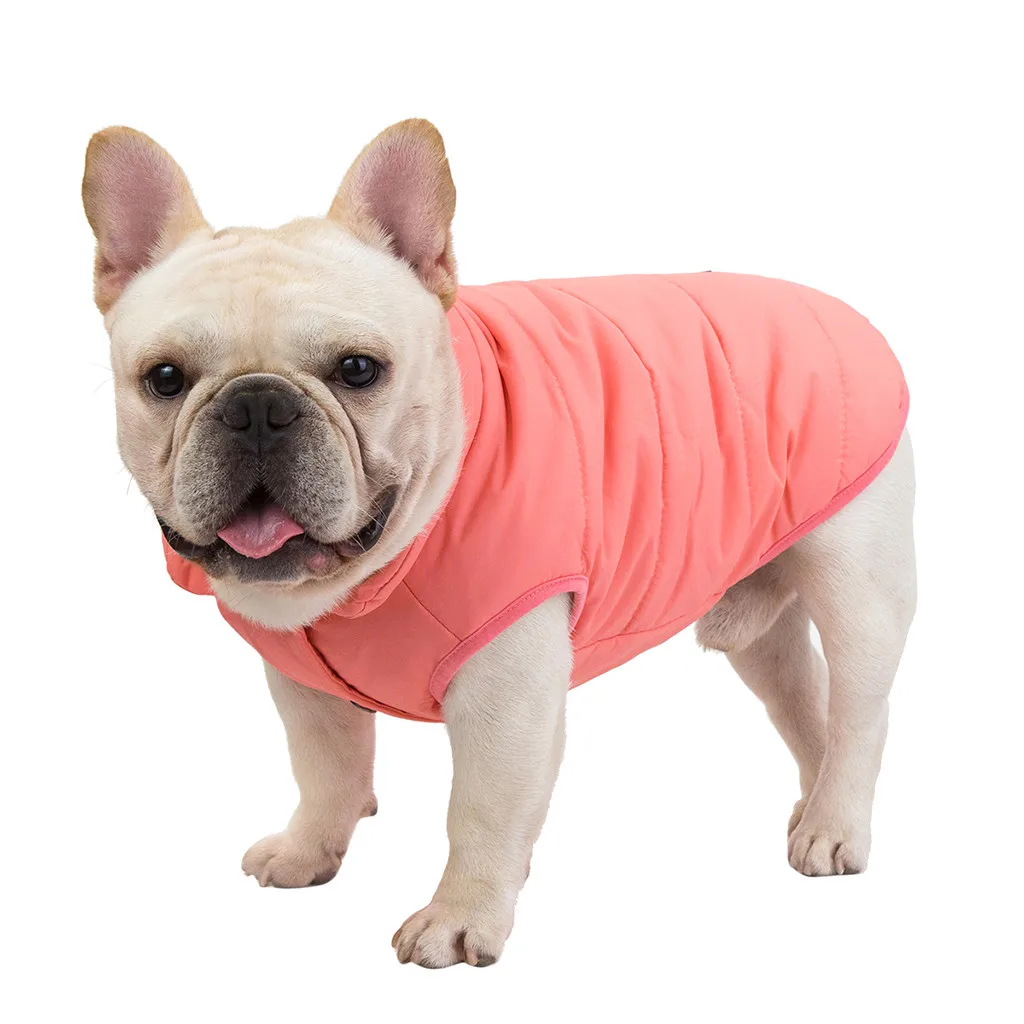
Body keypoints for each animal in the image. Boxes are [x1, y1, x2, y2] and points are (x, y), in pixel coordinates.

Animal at [83, 119, 916, 968]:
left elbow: (480, 811)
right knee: (804, 698)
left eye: (359, 369)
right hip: (756, 624)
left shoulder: (503, 695)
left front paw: (460, 918)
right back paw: (813, 805)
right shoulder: (304, 686)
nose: (256, 406)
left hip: (857, 585)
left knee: (861, 710)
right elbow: (326, 769)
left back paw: (836, 826)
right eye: (164, 379)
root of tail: (839, 309)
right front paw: (309, 850)